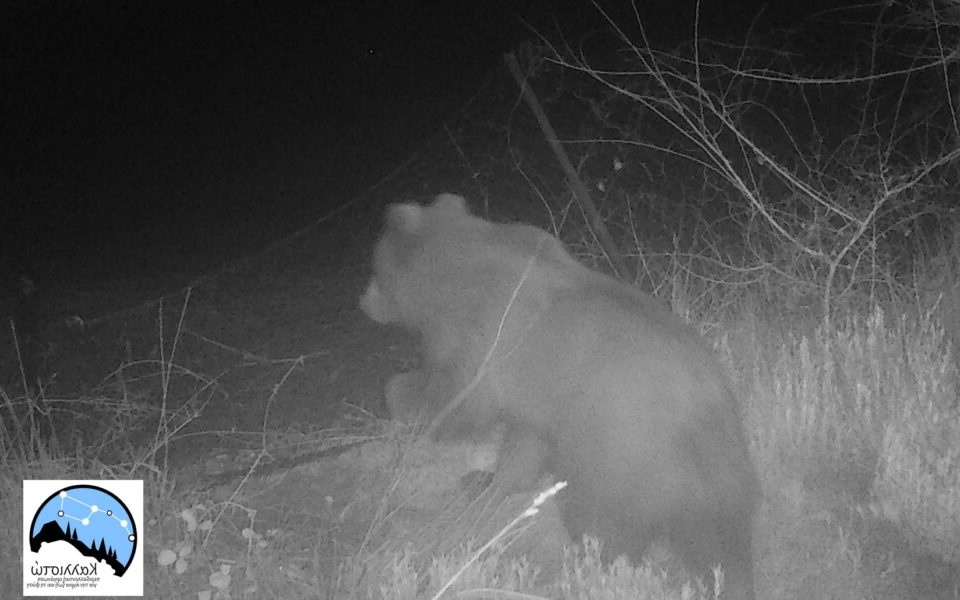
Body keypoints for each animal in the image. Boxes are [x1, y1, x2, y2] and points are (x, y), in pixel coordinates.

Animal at [358, 195, 756, 596]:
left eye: (374, 267)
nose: (362, 300)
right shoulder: (539, 398)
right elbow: (523, 445)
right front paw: (486, 480)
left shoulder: (485, 335)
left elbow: (461, 399)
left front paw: (401, 399)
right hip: (717, 482)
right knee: (719, 546)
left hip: (623, 459)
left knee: (606, 524)